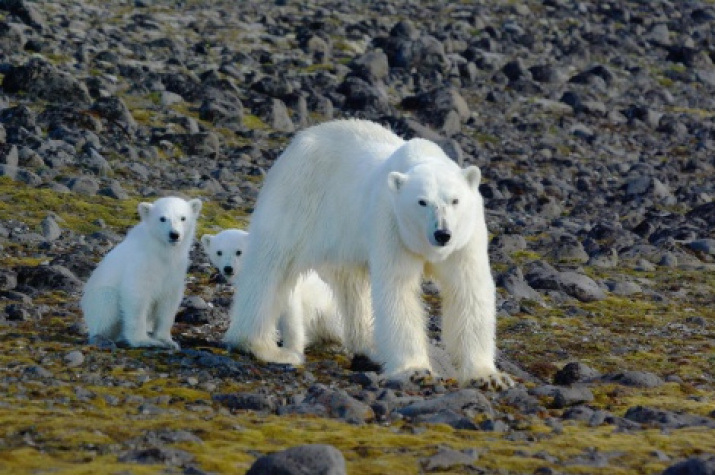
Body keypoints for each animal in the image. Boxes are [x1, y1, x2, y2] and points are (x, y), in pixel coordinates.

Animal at [82, 197, 203, 350]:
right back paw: (102, 338)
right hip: (100, 298)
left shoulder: (175, 270)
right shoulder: (141, 264)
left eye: (183, 218)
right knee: (105, 307)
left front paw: (168, 341)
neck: (161, 252)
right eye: (162, 218)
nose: (174, 234)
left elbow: (168, 302)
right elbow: (137, 298)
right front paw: (144, 341)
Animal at [200, 229, 346, 358]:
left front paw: (292, 350)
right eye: (219, 252)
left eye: (239, 252)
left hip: (326, 309)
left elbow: (291, 316)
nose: (228, 268)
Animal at [227, 119, 512, 390]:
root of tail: (298, 141)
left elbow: (468, 290)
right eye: (422, 201)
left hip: (344, 234)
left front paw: (487, 376)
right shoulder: (391, 224)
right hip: (298, 198)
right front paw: (416, 371)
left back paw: (370, 346)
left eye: (455, 200)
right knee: (270, 266)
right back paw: (264, 347)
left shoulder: (466, 238)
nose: (442, 234)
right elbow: (398, 290)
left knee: (352, 285)